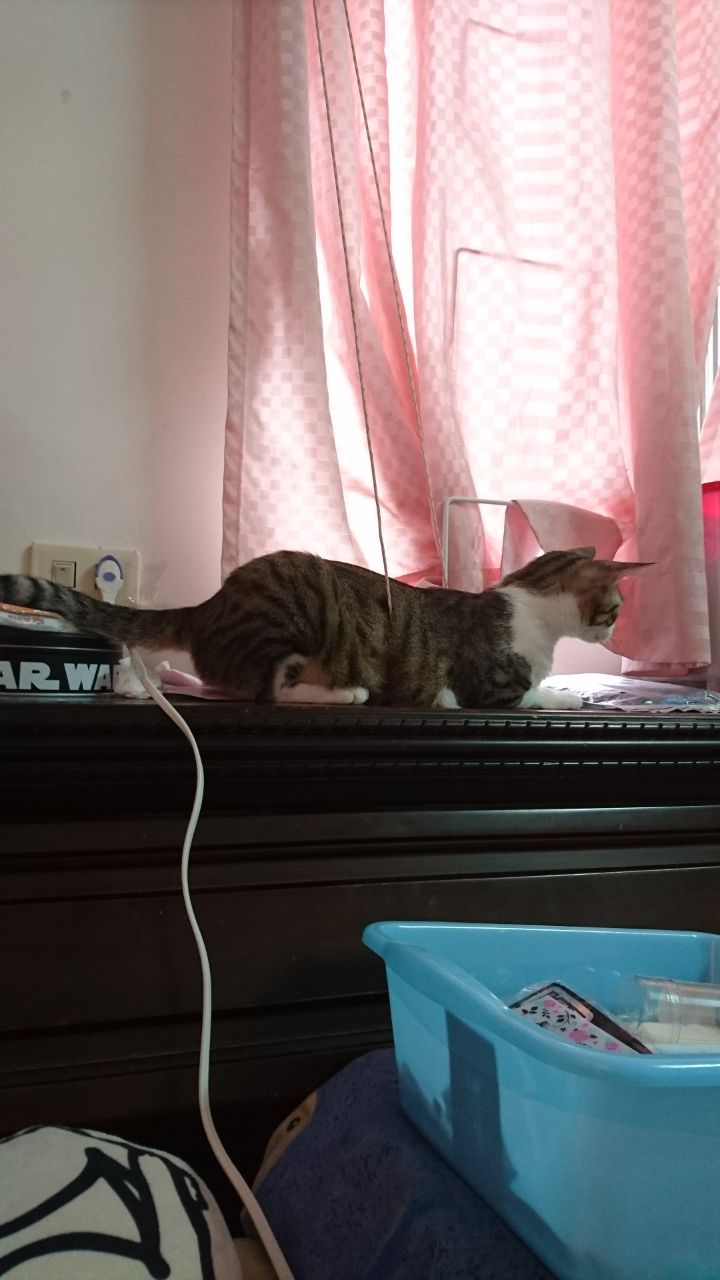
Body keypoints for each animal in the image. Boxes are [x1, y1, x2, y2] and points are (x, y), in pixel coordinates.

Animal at [0, 547, 649, 710]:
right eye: (616, 608)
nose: (614, 638)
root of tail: (211, 605)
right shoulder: (485, 688)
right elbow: (537, 691)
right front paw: (569, 693)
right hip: (298, 615)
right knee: (267, 690)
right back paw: (348, 691)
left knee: (222, 683)